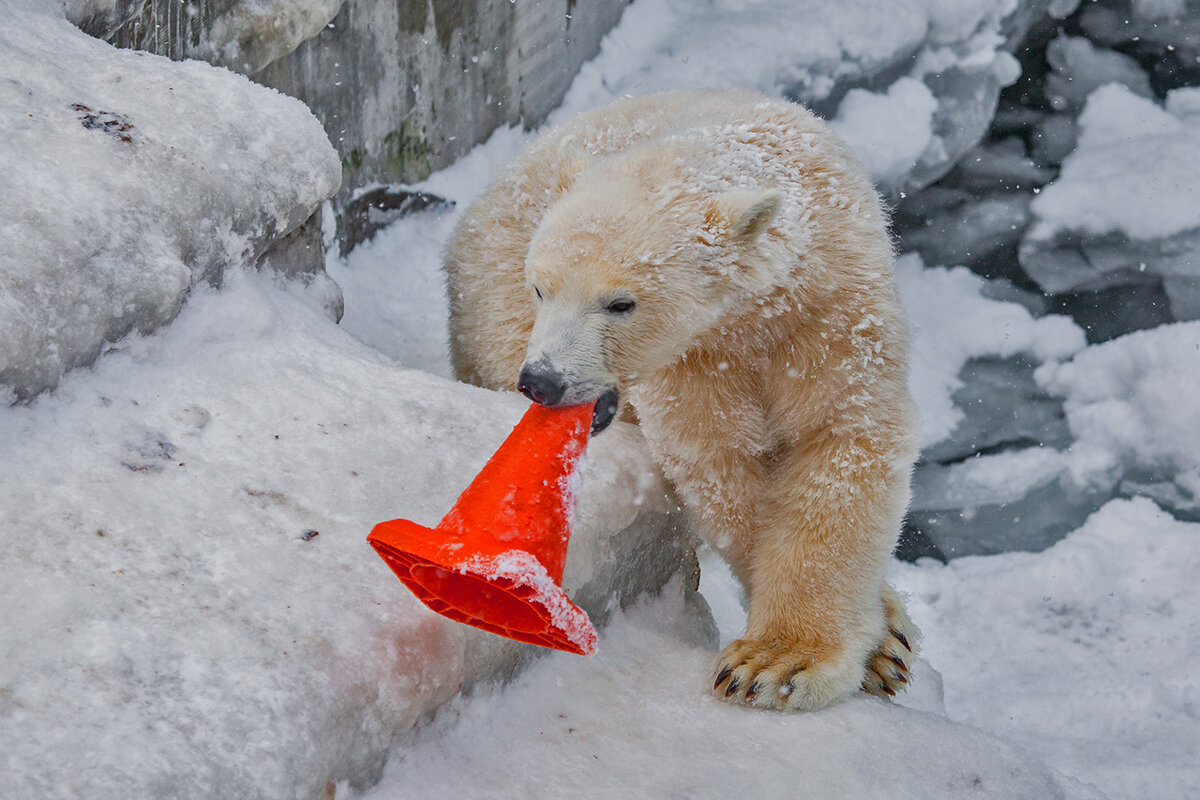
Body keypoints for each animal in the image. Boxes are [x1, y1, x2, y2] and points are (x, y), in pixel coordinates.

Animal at [446, 89, 921, 714]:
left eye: (620, 303)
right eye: (541, 287)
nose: (543, 381)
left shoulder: (830, 317)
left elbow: (840, 437)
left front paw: (786, 662)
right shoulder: (693, 362)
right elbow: (725, 466)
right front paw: (780, 658)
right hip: (493, 321)